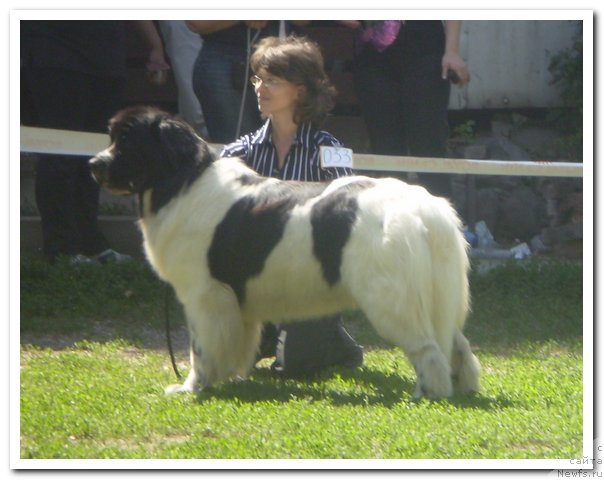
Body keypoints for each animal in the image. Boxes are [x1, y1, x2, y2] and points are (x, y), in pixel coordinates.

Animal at [89, 107, 482, 400]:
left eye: (128, 140)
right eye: (112, 137)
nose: (94, 164)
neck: (183, 180)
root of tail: (424, 205)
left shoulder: (205, 295)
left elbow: (200, 348)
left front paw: (192, 387)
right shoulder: (235, 303)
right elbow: (237, 343)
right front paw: (230, 377)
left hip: (391, 298)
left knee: (428, 348)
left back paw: (429, 393)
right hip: (435, 294)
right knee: (457, 343)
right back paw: (464, 387)